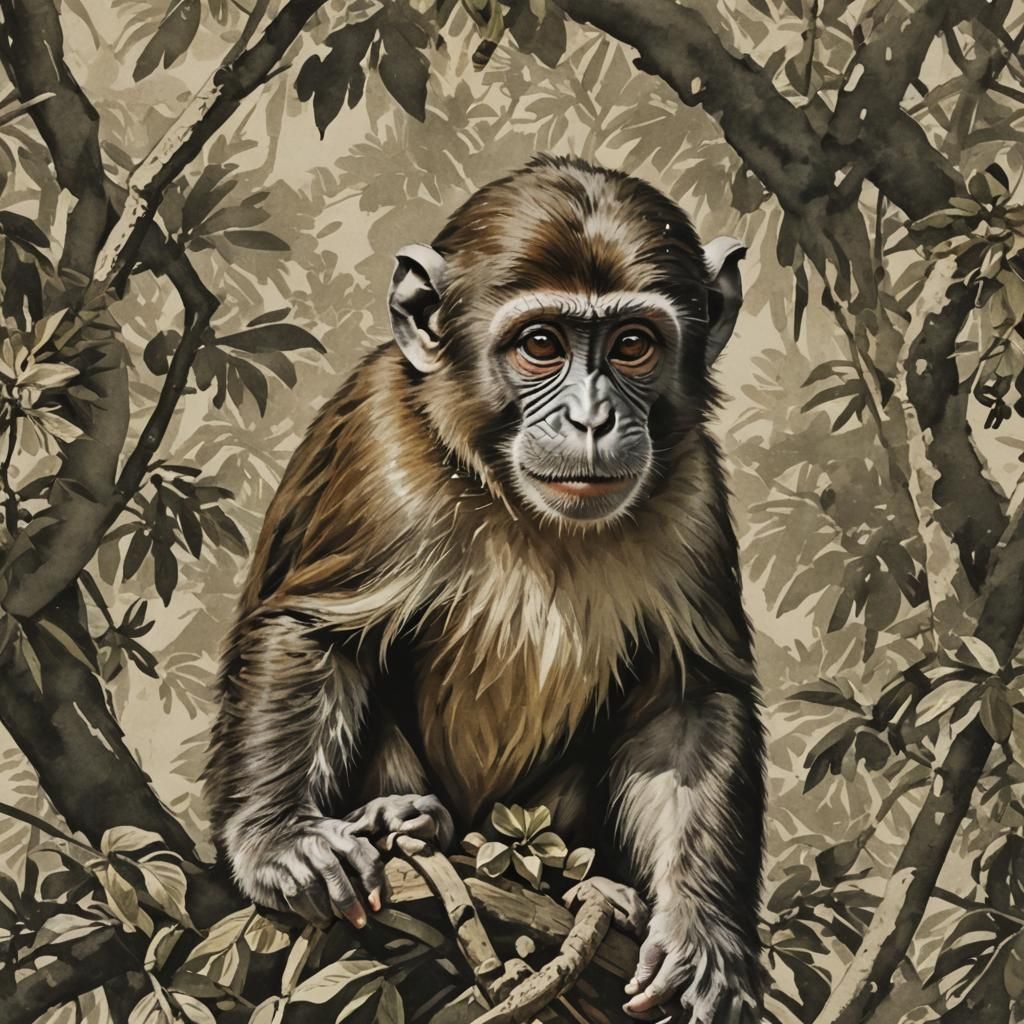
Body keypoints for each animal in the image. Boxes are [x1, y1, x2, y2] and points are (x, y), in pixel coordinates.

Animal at [205, 155, 765, 1023]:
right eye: (541, 344)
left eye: (634, 344)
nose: (593, 419)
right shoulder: (380, 441)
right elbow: (316, 633)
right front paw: (278, 839)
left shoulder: (692, 484)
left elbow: (686, 699)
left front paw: (700, 932)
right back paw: (398, 818)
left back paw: (597, 888)